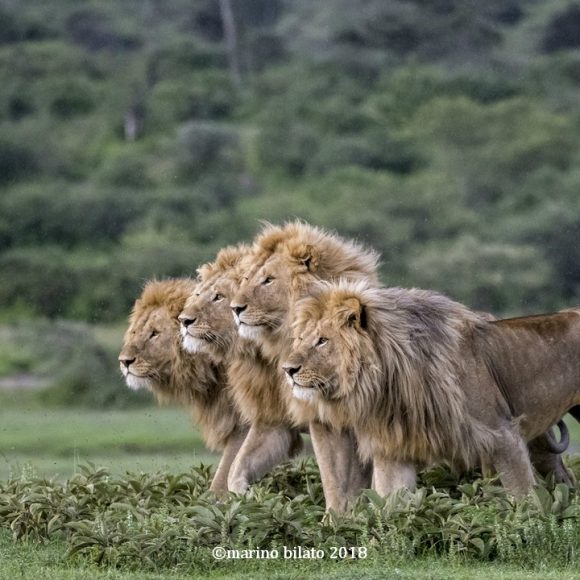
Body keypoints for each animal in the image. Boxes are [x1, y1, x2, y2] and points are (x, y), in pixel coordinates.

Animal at [229, 221, 382, 508]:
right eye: (246, 279)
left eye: (268, 279)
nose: (235, 308)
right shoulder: (295, 420)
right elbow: (333, 480)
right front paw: (249, 500)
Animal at [282, 278, 580, 496]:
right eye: (300, 338)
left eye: (322, 340)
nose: (287, 369)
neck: (389, 379)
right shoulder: (394, 447)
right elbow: (390, 504)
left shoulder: (502, 433)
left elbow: (523, 496)